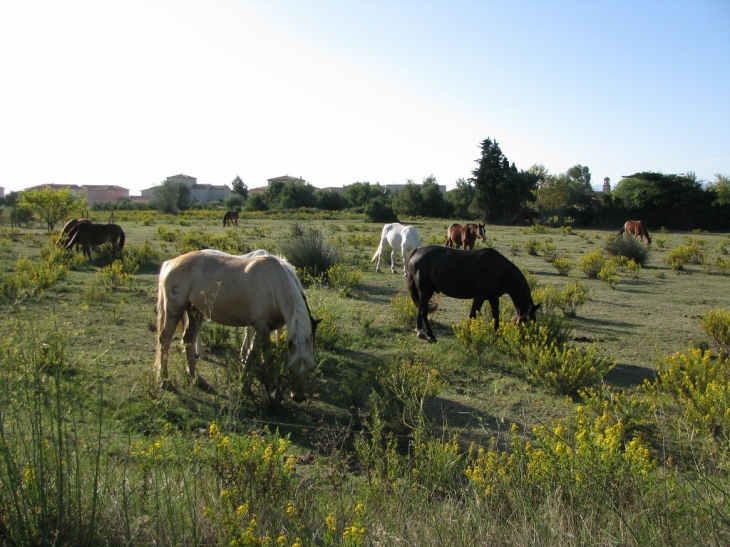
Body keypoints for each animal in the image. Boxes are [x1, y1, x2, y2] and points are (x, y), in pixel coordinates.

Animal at [155, 250, 320, 400]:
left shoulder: (264, 329)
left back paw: (196, 378)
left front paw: (248, 386)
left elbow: (254, 356)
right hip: (174, 309)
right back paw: (164, 381)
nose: (298, 397)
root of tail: (169, 263)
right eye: (290, 367)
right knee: (165, 341)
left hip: (195, 311)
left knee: (188, 340)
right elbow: (261, 357)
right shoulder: (262, 328)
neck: (275, 285)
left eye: (311, 368)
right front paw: (267, 388)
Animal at [406, 245, 536, 342]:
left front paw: (498, 337)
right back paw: (430, 335)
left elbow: (496, 317)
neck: (498, 268)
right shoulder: (479, 296)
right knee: (423, 311)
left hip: (424, 292)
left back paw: (420, 331)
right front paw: (468, 336)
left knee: (420, 308)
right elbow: (472, 316)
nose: (529, 339)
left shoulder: (493, 298)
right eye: (528, 322)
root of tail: (417, 251)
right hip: (425, 290)